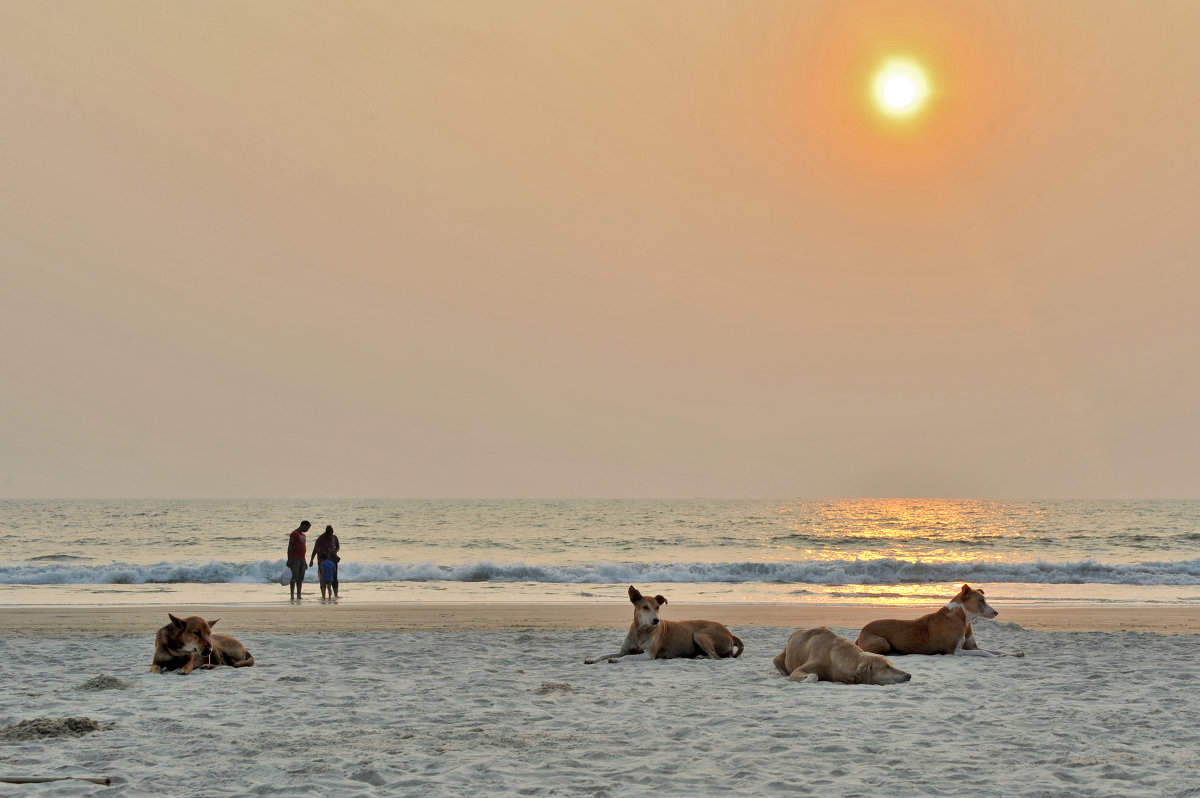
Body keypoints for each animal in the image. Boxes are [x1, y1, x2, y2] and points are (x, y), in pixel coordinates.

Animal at [585, 583, 744, 662]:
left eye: (657, 607)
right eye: (645, 607)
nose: (656, 620)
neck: (641, 631)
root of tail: (730, 634)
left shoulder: (648, 654)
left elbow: (628, 657)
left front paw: (615, 660)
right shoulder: (623, 650)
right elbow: (606, 654)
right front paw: (592, 658)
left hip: (700, 634)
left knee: (716, 657)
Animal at [859, 583, 1027, 657]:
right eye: (981, 601)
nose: (996, 612)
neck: (963, 619)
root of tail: (861, 633)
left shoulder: (972, 646)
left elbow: (995, 649)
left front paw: (1014, 653)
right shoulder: (956, 651)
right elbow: (986, 653)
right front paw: (998, 656)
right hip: (883, 642)